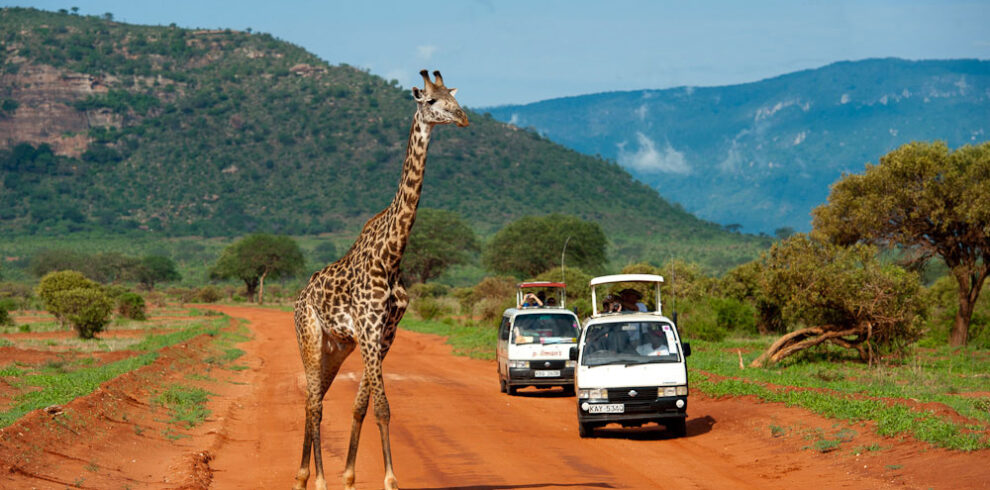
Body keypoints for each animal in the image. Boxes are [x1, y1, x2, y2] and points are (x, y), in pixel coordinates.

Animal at [290, 70, 468, 490]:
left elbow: (362, 405)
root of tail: (299, 297)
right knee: (315, 402)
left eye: (454, 99)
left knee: (313, 398)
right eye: (431, 102)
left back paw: (303, 475)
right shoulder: (369, 329)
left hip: (337, 346)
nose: (463, 118)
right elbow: (383, 407)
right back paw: (316, 479)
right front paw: (389, 479)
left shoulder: (386, 332)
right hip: (309, 334)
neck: (393, 254)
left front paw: (350, 474)